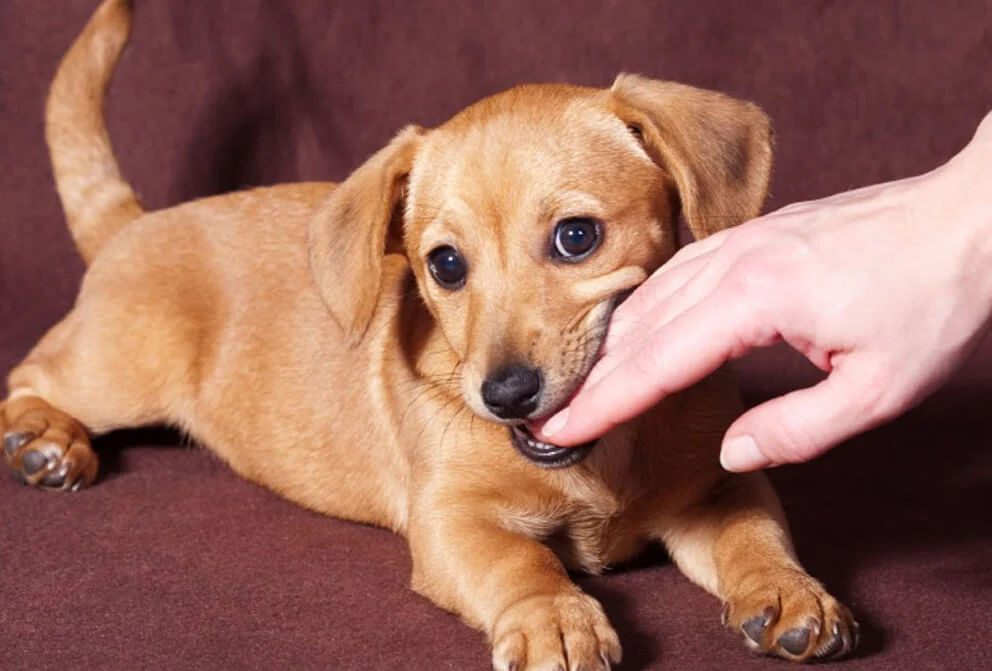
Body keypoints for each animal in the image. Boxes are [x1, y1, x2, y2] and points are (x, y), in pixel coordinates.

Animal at [0, 2, 856, 668]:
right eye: (445, 264)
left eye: (577, 237)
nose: (505, 394)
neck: (597, 461)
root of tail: (132, 224)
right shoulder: (452, 518)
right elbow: (523, 561)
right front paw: (555, 617)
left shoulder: (716, 487)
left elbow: (755, 535)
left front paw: (790, 592)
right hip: (116, 371)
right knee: (28, 374)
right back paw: (47, 437)